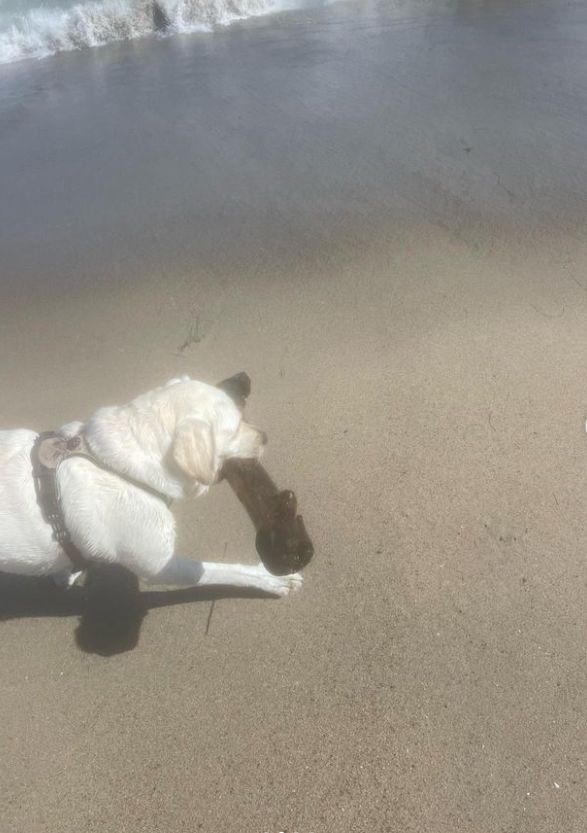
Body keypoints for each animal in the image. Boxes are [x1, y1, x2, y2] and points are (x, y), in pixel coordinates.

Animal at [0, 376, 304, 600]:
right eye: (236, 427)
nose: (265, 437)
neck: (115, 463)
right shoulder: (161, 566)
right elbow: (221, 570)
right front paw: (271, 578)